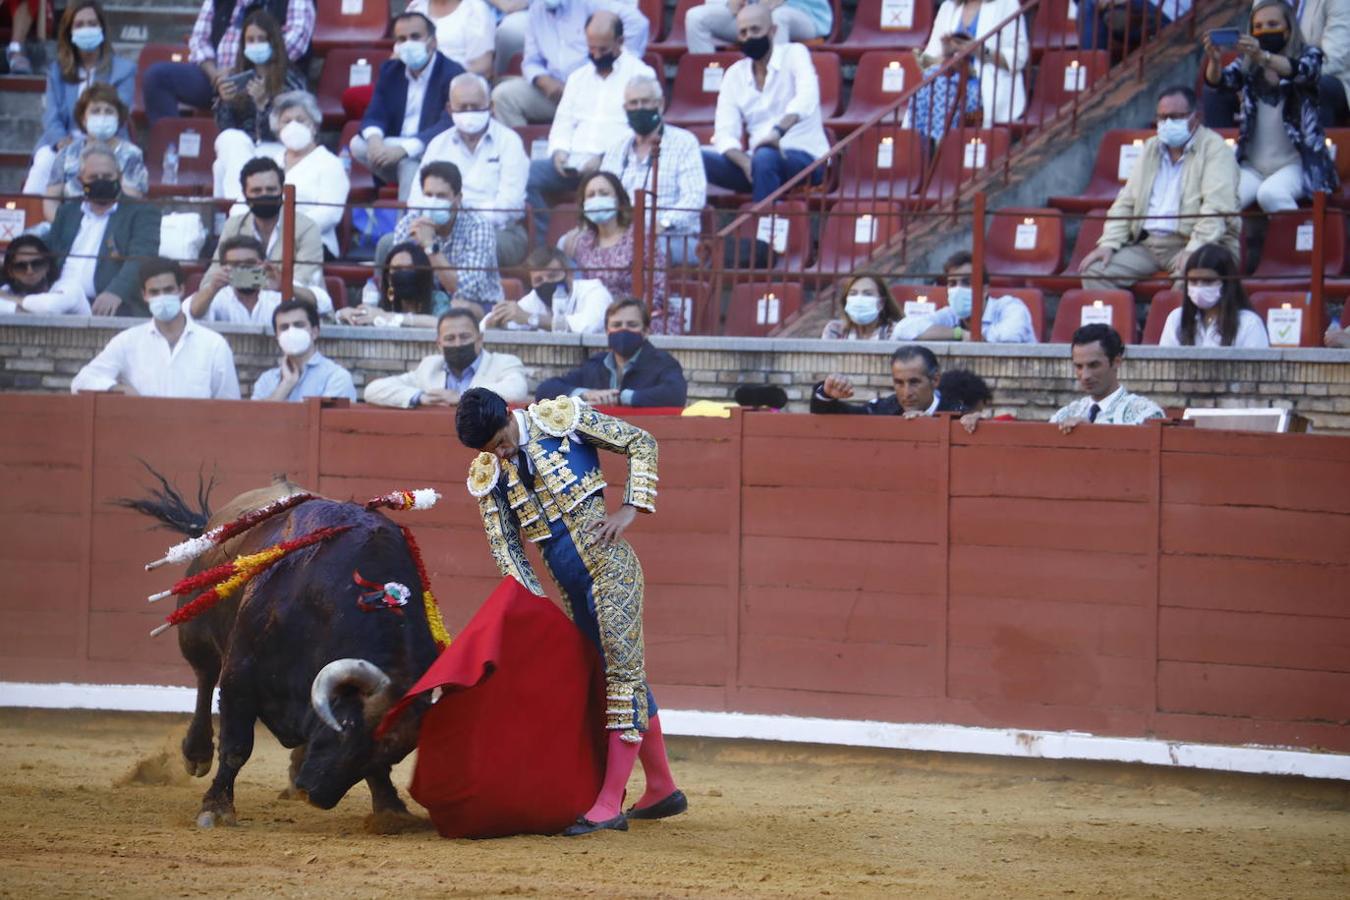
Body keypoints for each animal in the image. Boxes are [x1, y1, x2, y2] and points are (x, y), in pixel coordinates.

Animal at [126, 474, 437, 825]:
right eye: (347, 727)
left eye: (397, 753)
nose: (314, 794)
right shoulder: (240, 677)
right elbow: (236, 747)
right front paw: (216, 808)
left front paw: (391, 810)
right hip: (195, 633)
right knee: (204, 678)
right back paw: (197, 753)